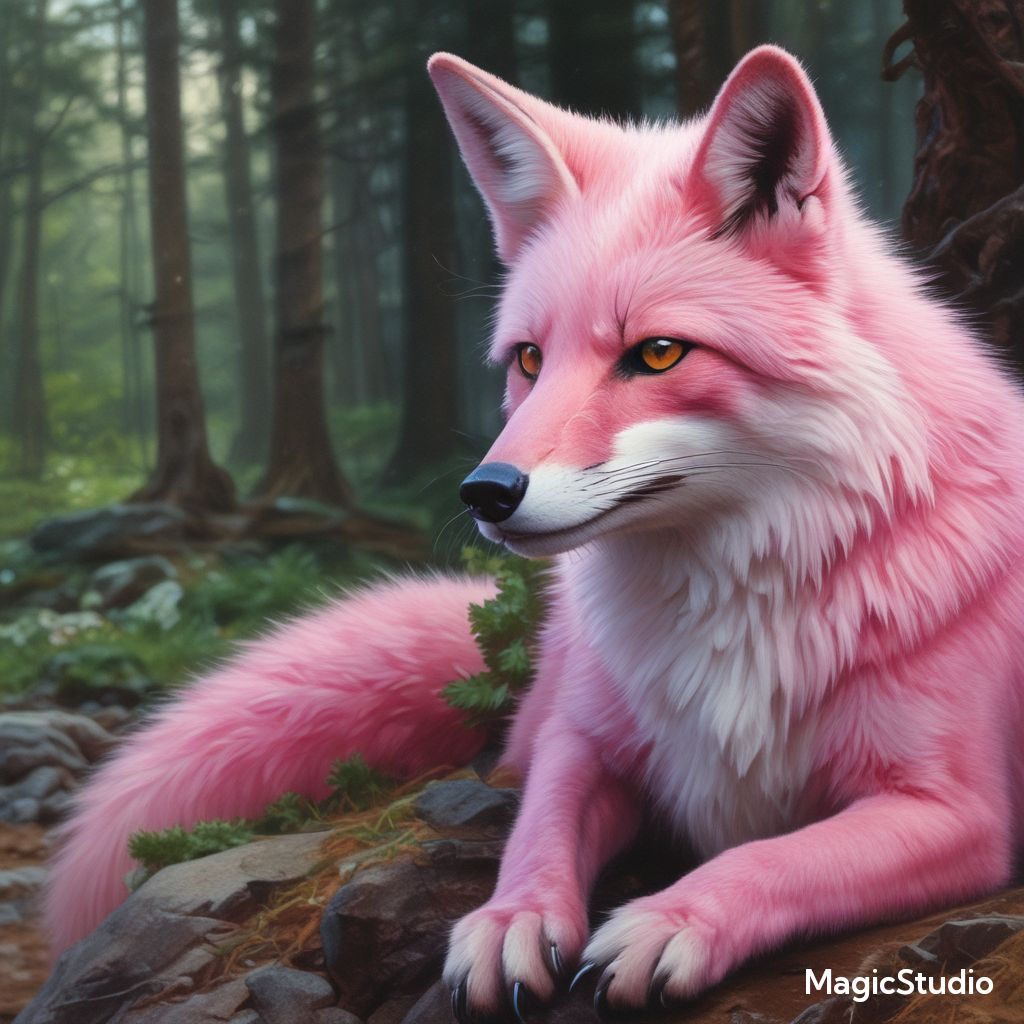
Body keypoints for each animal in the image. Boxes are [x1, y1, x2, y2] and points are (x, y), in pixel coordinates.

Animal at [46, 44, 1024, 1017]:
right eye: (528, 359)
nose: (485, 492)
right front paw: (511, 918)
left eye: (658, 354)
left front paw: (673, 919)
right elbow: (538, 822)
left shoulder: (963, 819)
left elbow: (775, 857)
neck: (732, 610)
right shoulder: (583, 738)